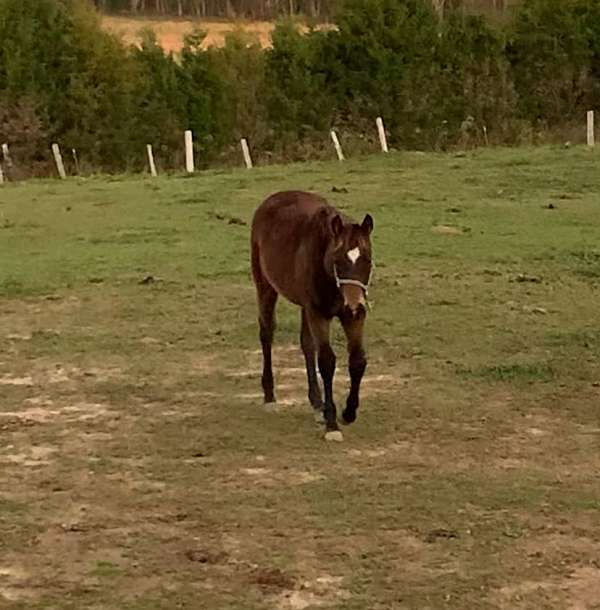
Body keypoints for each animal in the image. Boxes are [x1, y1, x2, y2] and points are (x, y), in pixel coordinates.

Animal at [250, 188, 372, 440]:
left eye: (367, 260)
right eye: (338, 260)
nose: (355, 305)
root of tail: (272, 199)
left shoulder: (350, 318)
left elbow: (357, 359)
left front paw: (348, 412)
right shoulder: (319, 314)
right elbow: (326, 361)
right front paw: (332, 423)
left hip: (305, 307)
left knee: (306, 344)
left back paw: (317, 403)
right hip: (265, 286)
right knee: (267, 333)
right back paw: (270, 397)